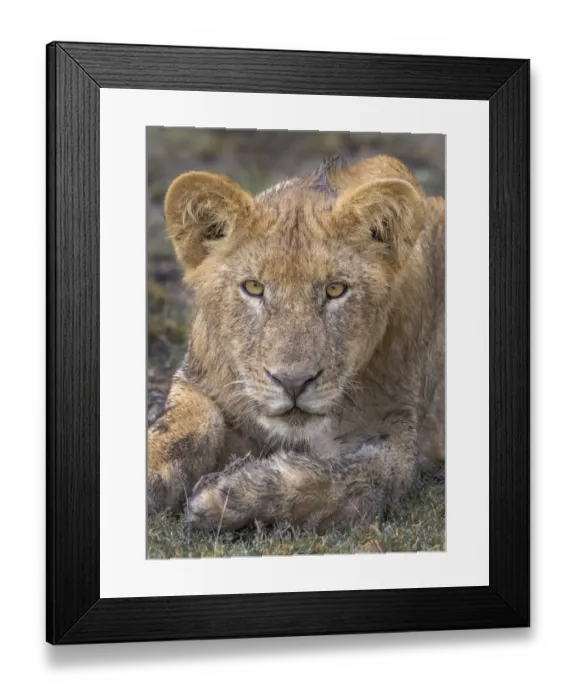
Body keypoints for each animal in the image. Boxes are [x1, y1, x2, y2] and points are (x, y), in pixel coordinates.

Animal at [147, 154, 445, 533]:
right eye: (254, 287)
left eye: (335, 289)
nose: (293, 383)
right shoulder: (197, 381)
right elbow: (181, 425)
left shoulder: (395, 439)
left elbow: (340, 480)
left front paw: (225, 495)